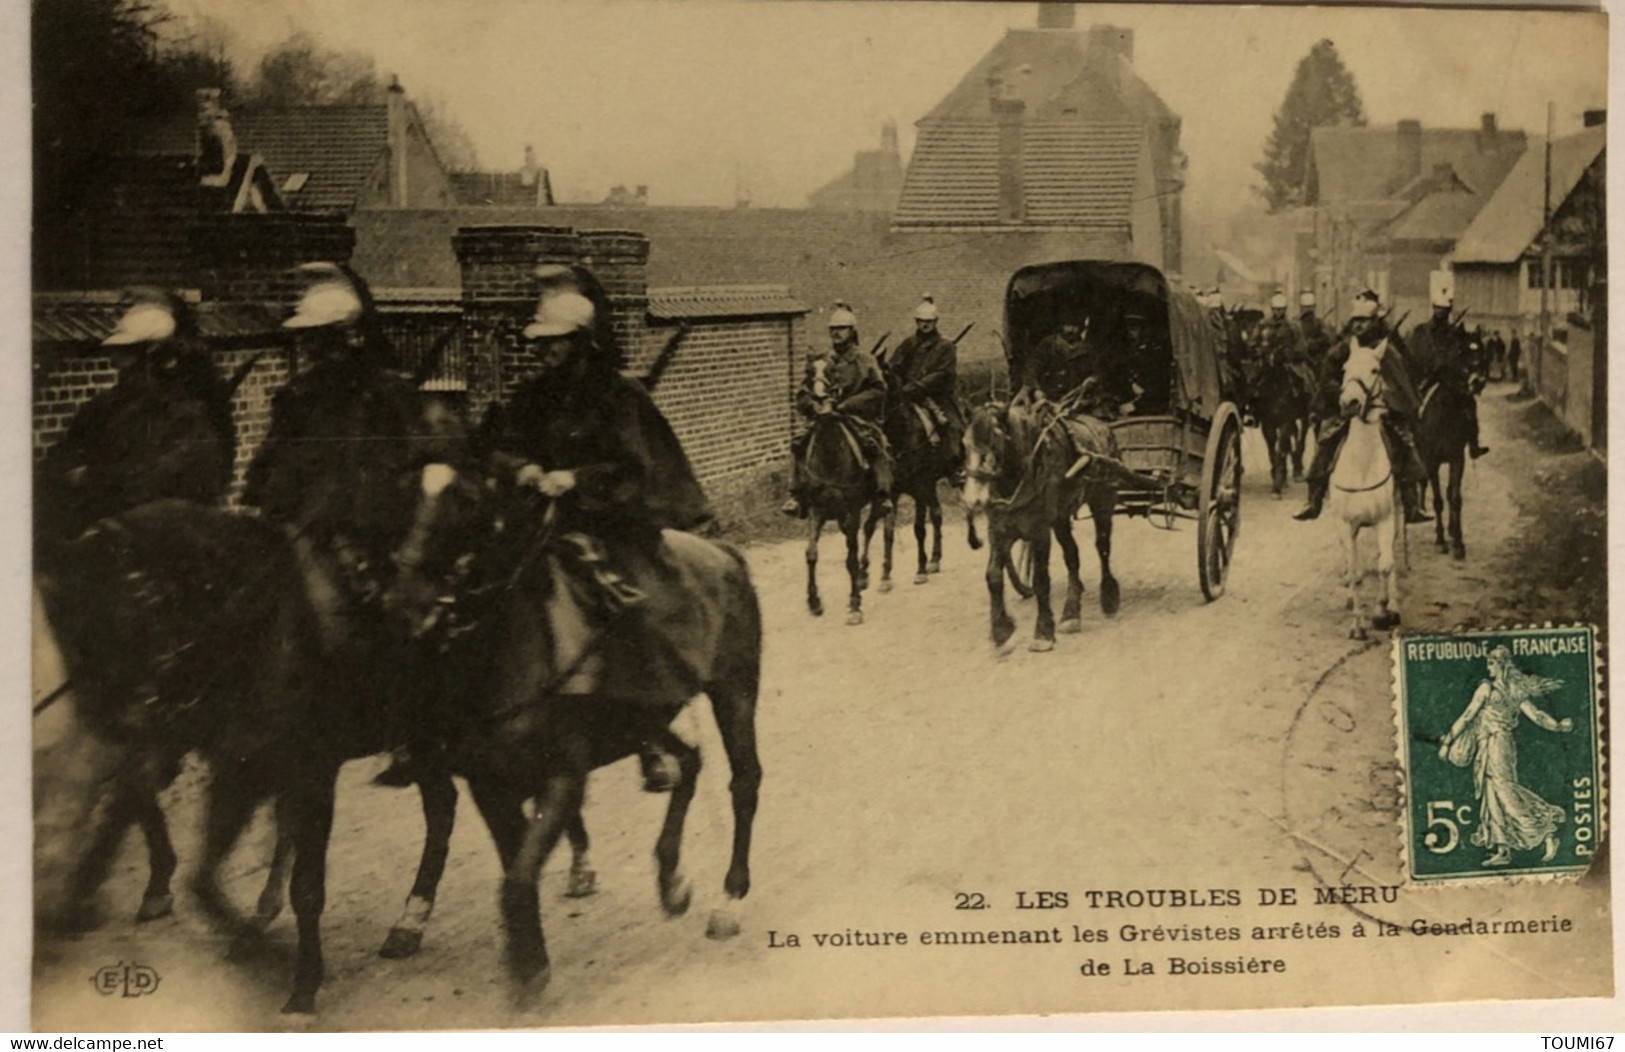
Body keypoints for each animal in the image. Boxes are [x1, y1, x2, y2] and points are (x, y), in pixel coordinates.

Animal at [799, 359, 890, 624]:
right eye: (809, 373)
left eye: (832, 371)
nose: (821, 402)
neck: (830, 456)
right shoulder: (816, 510)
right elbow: (811, 553)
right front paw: (814, 601)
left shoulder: (852, 509)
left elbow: (851, 555)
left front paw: (855, 605)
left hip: (877, 502)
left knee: (869, 529)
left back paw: (864, 575)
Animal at [955, 401, 1124, 653]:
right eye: (965, 443)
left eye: (996, 440)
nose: (973, 499)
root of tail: (1103, 426)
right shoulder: (998, 530)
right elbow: (993, 577)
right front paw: (1001, 631)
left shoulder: (1039, 531)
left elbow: (1041, 580)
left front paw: (1043, 633)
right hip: (1061, 518)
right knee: (1072, 555)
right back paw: (1071, 613)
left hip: (1102, 501)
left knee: (1102, 547)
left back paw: (1109, 596)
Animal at [1326, 346, 1404, 640]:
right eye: (1345, 368)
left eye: (1375, 369)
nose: (1349, 402)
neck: (1362, 463)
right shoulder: (1345, 524)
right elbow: (1354, 570)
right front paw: (1357, 624)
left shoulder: (1385, 519)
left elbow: (1385, 565)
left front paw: (1383, 610)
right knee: (1352, 565)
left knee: (1389, 559)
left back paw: (1393, 604)